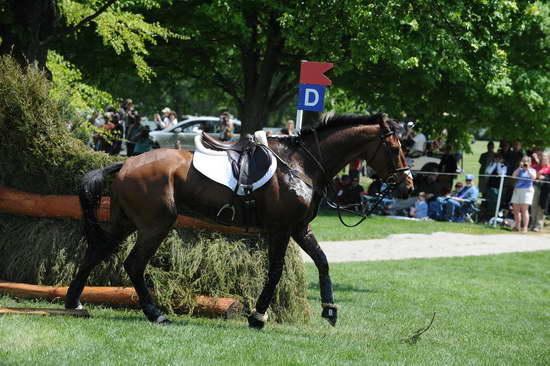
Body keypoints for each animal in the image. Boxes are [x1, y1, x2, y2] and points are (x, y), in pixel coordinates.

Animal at [67, 112, 414, 328]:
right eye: (395, 147)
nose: (408, 186)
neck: (301, 164)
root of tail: (125, 164)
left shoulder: (300, 228)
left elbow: (322, 261)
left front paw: (329, 309)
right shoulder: (280, 229)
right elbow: (275, 272)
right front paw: (258, 316)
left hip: (125, 221)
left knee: (96, 252)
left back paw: (74, 303)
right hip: (155, 225)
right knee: (134, 264)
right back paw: (155, 315)